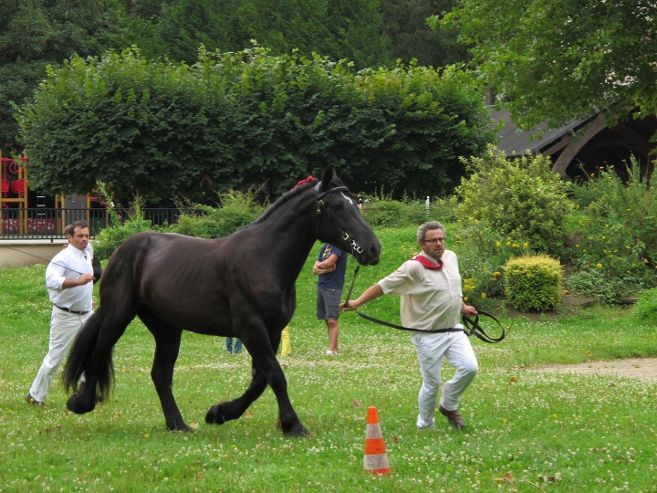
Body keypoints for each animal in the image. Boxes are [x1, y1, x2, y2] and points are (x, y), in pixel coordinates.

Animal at [62, 165, 380, 434]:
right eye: (337, 207)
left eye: (355, 204)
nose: (373, 249)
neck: (265, 259)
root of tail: (123, 250)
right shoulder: (251, 329)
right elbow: (275, 375)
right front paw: (293, 425)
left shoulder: (273, 330)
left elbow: (261, 379)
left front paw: (219, 412)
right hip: (119, 315)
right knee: (100, 351)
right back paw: (81, 403)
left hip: (167, 327)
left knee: (161, 374)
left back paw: (178, 424)